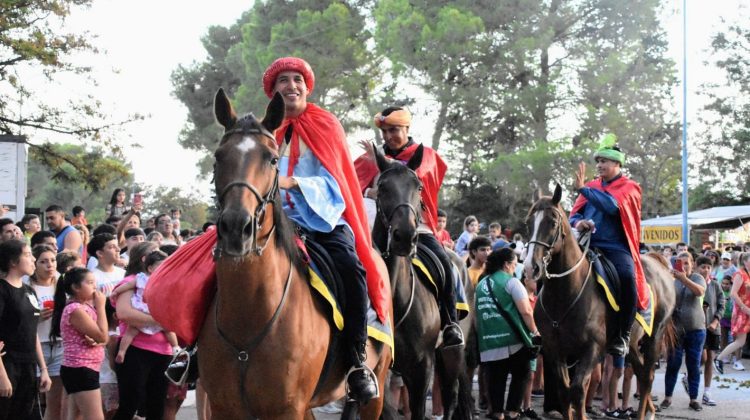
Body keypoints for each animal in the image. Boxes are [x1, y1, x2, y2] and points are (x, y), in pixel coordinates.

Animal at [200, 89, 394, 420]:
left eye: (272, 159)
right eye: (218, 157)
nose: (237, 227)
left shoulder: (287, 408)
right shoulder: (226, 408)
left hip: (377, 385)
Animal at [524, 185, 680, 420]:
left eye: (552, 222)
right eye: (529, 223)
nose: (530, 267)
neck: (565, 294)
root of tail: (658, 263)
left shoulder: (592, 350)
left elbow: (578, 390)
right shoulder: (555, 350)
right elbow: (565, 392)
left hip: (655, 336)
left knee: (647, 376)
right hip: (632, 344)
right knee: (642, 373)